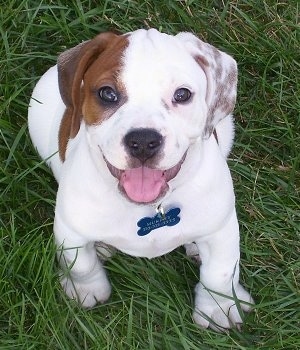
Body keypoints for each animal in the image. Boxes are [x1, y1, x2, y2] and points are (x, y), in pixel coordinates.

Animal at [27, 28, 253, 330]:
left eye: (182, 94)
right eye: (107, 93)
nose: (144, 141)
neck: (148, 207)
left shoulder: (221, 226)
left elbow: (220, 272)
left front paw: (219, 307)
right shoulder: (70, 227)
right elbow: (80, 264)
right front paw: (86, 290)